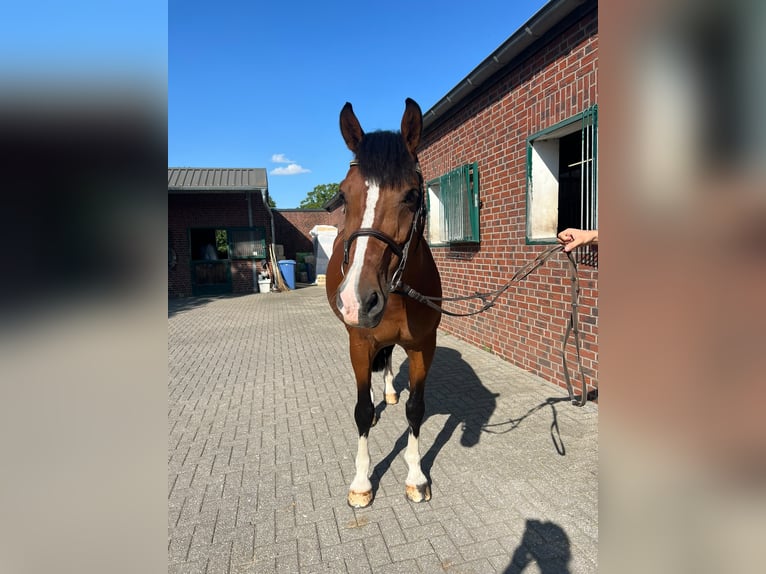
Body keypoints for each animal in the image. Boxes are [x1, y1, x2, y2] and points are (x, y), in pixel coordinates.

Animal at [325, 98, 443, 508]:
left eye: (411, 195)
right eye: (344, 195)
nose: (357, 300)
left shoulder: (424, 347)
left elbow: (416, 409)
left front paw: (416, 477)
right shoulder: (359, 342)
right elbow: (360, 411)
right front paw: (361, 483)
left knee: (390, 357)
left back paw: (389, 392)